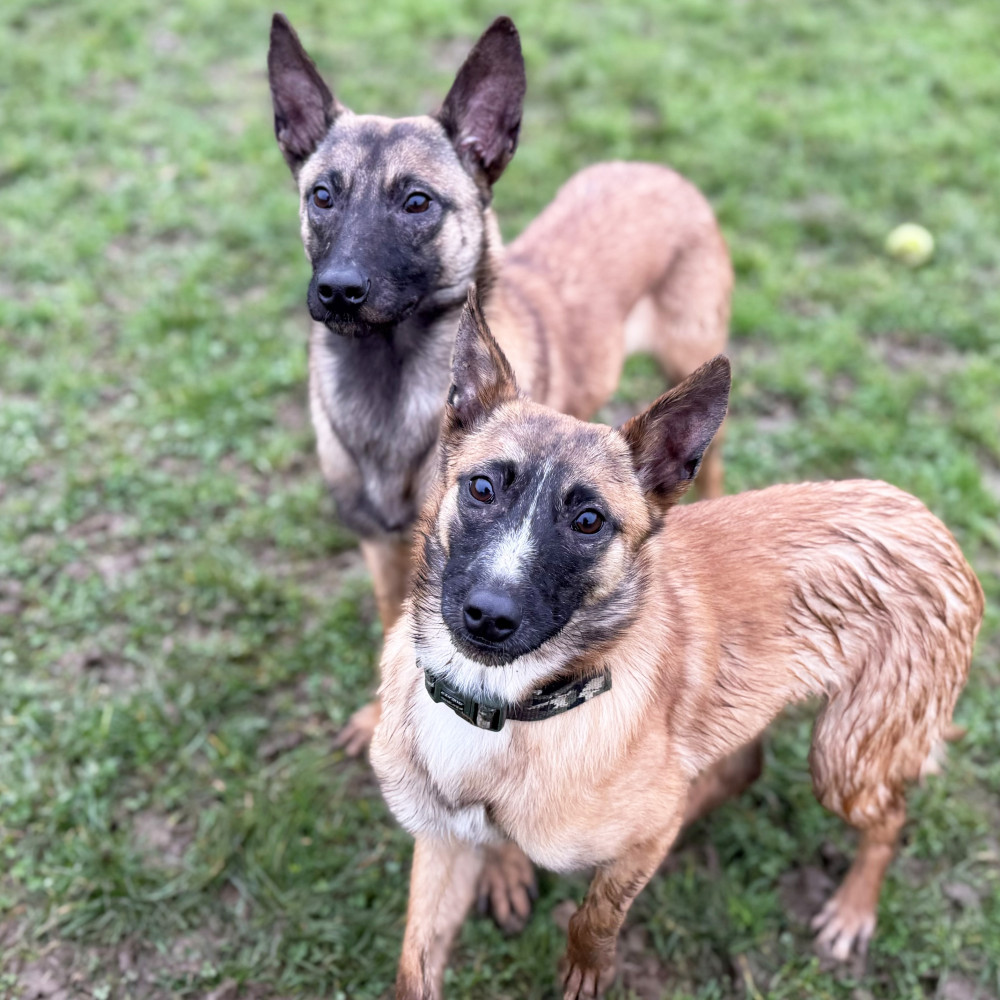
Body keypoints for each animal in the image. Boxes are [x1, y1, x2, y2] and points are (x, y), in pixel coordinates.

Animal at [267, 14, 733, 757]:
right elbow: (392, 627)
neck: (388, 392)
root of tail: (655, 169)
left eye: (417, 202)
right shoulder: (385, 549)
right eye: (322, 195)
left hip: (687, 359)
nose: (338, 290)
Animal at [370, 293, 984, 999]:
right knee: (742, 769)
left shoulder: (640, 830)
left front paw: (585, 970)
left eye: (589, 521)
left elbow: (597, 913)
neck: (500, 704)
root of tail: (932, 523)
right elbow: (413, 966)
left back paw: (853, 910)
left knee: (888, 822)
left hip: (846, 759)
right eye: (481, 487)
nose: (486, 618)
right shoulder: (446, 844)